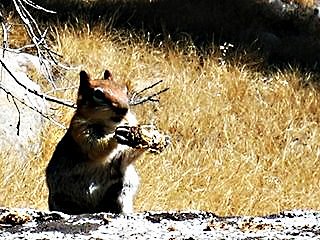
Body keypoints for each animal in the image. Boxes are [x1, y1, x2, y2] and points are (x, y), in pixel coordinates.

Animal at [45, 69, 145, 214]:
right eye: (98, 94)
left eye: (124, 90)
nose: (124, 109)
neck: (110, 126)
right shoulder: (80, 132)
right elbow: (96, 148)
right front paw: (115, 137)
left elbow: (126, 155)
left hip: (122, 189)